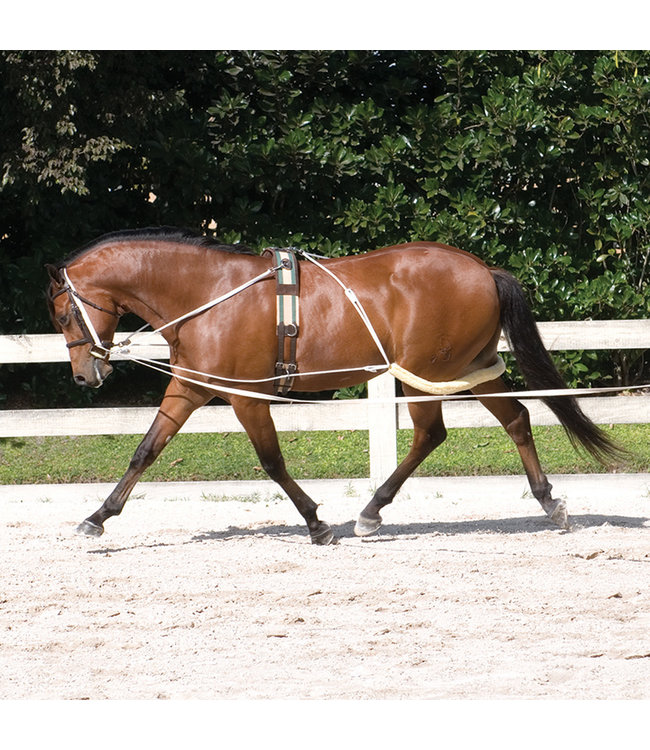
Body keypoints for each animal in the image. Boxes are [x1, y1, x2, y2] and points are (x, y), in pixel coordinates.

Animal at [46, 227, 623, 544]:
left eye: (63, 313)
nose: (85, 375)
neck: (208, 293)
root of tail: (483, 269)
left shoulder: (243, 396)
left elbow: (272, 462)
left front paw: (316, 524)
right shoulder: (188, 388)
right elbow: (145, 451)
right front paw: (97, 518)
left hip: (428, 375)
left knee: (431, 435)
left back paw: (371, 512)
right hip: (469, 369)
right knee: (516, 419)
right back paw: (549, 503)